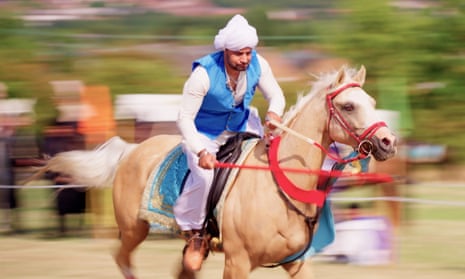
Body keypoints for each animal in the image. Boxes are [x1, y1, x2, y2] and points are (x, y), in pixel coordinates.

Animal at [35, 65, 396, 278]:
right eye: (349, 106)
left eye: (371, 101)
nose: (388, 142)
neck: (277, 188)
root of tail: (131, 150)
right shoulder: (237, 263)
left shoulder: (297, 263)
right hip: (134, 229)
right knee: (122, 259)